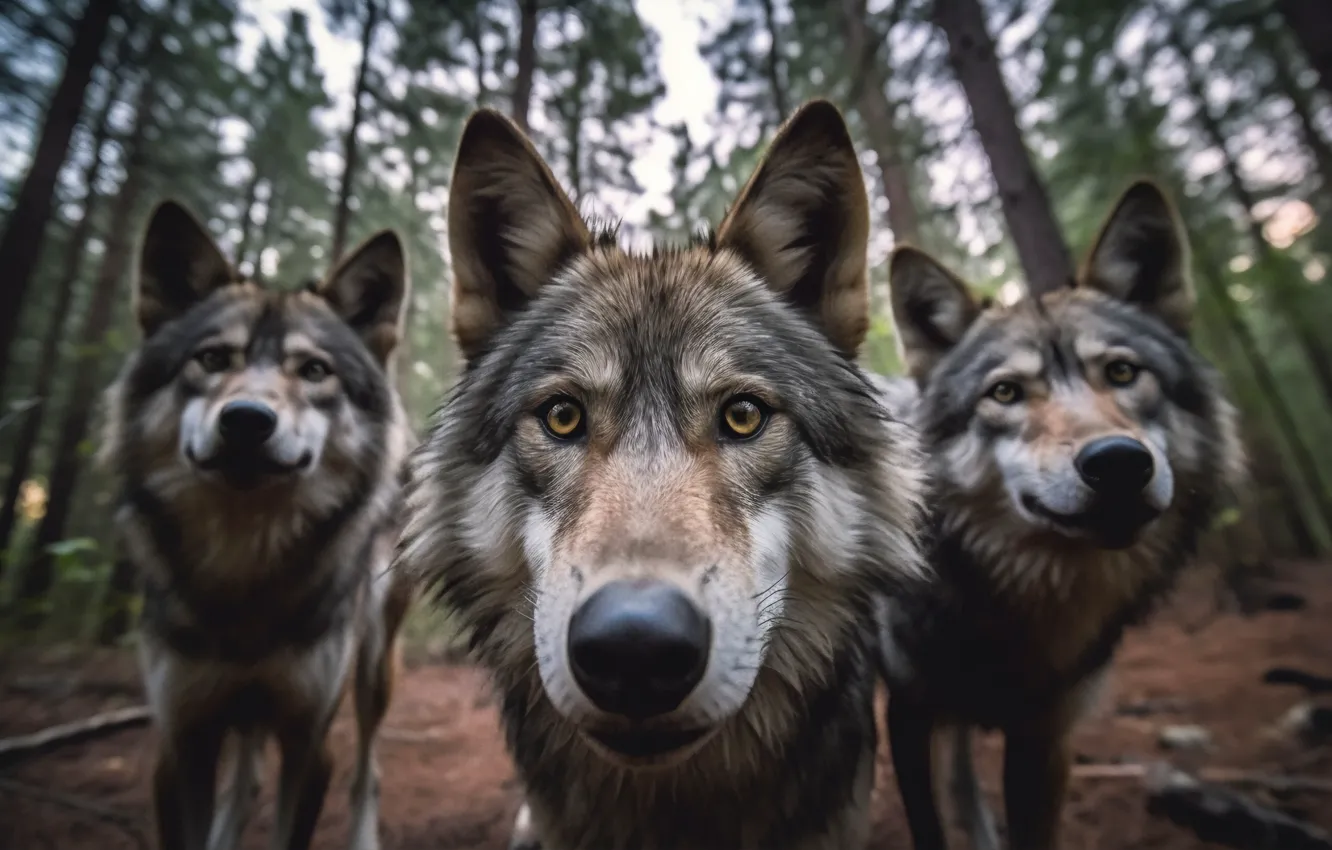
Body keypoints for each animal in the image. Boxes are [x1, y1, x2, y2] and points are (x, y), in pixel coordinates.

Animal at [99, 200, 416, 850]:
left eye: (314, 370)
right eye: (213, 359)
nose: (246, 419)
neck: (244, 573)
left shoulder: (309, 743)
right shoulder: (181, 743)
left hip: (374, 670)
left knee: (367, 771)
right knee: (244, 779)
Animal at [879, 181, 1246, 850]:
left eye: (1123, 372)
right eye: (1004, 393)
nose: (1118, 462)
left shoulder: (1046, 738)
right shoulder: (907, 712)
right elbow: (927, 824)